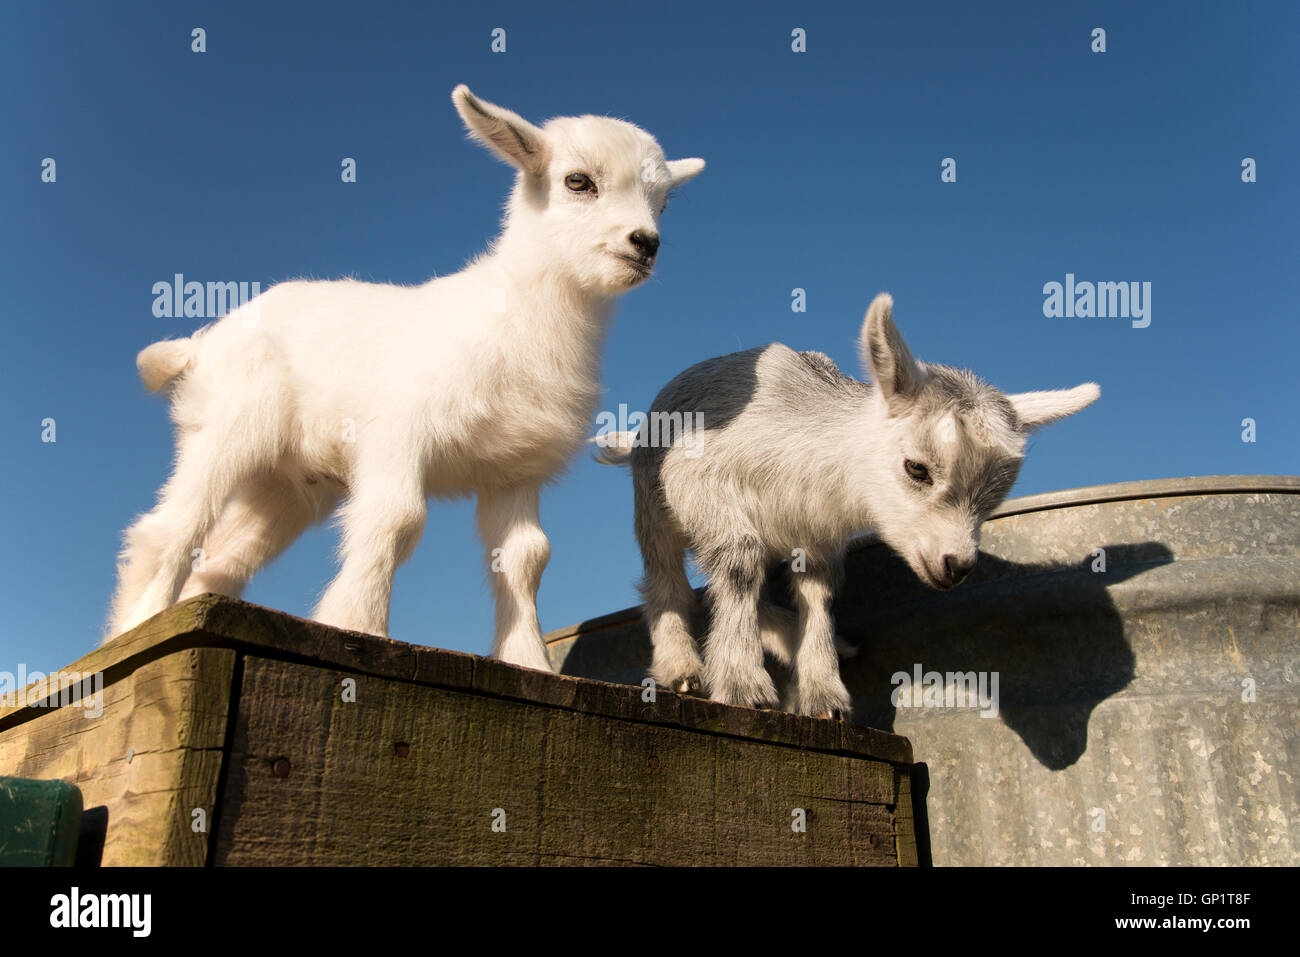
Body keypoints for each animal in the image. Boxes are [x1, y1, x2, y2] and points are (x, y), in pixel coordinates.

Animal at [107, 85, 707, 670]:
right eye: (577, 181)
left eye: (663, 201)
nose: (645, 243)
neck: (510, 312)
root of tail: (201, 341)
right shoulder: (398, 434)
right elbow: (395, 521)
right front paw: (358, 624)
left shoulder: (515, 468)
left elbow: (527, 556)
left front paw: (528, 660)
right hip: (229, 424)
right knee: (169, 529)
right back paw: (136, 629)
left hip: (285, 486)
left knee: (220, 559)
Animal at [595, 295, 1097, 712]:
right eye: (917, 469)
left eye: (994, 496)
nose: (956, 565)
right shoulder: (699, 481)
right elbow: (739, 564)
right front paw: (743, 685)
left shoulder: (817, 536)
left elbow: (816, 592)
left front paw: (823, 693)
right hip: (652, 506)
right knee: (668, 578)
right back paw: (681, 668)